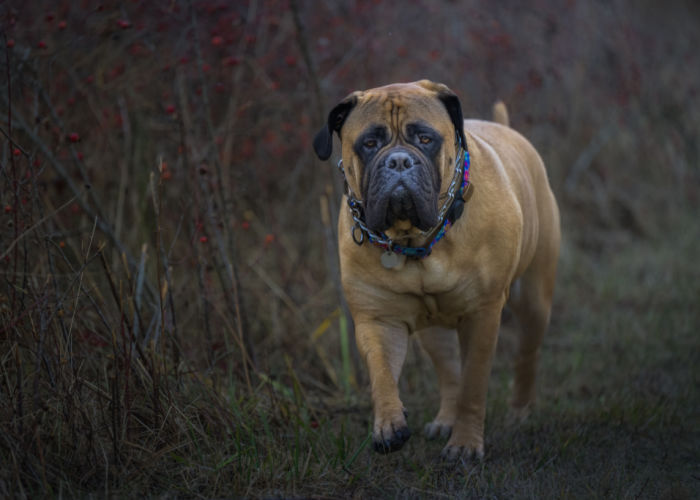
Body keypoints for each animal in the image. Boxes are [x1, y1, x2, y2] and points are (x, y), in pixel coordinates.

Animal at [314, 80, 560, 458]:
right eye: (369, 144)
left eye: (425, 138)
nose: (399, 161)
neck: (414, 241)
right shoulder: (377, 318)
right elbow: (382, 373)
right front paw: (388, 425)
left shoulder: (483, 314)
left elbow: (474, 385)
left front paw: (465, 445)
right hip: (433, 330)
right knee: (450, 373)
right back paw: (445, 420)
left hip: (534, 300)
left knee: (525, 357)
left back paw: (520, 411)